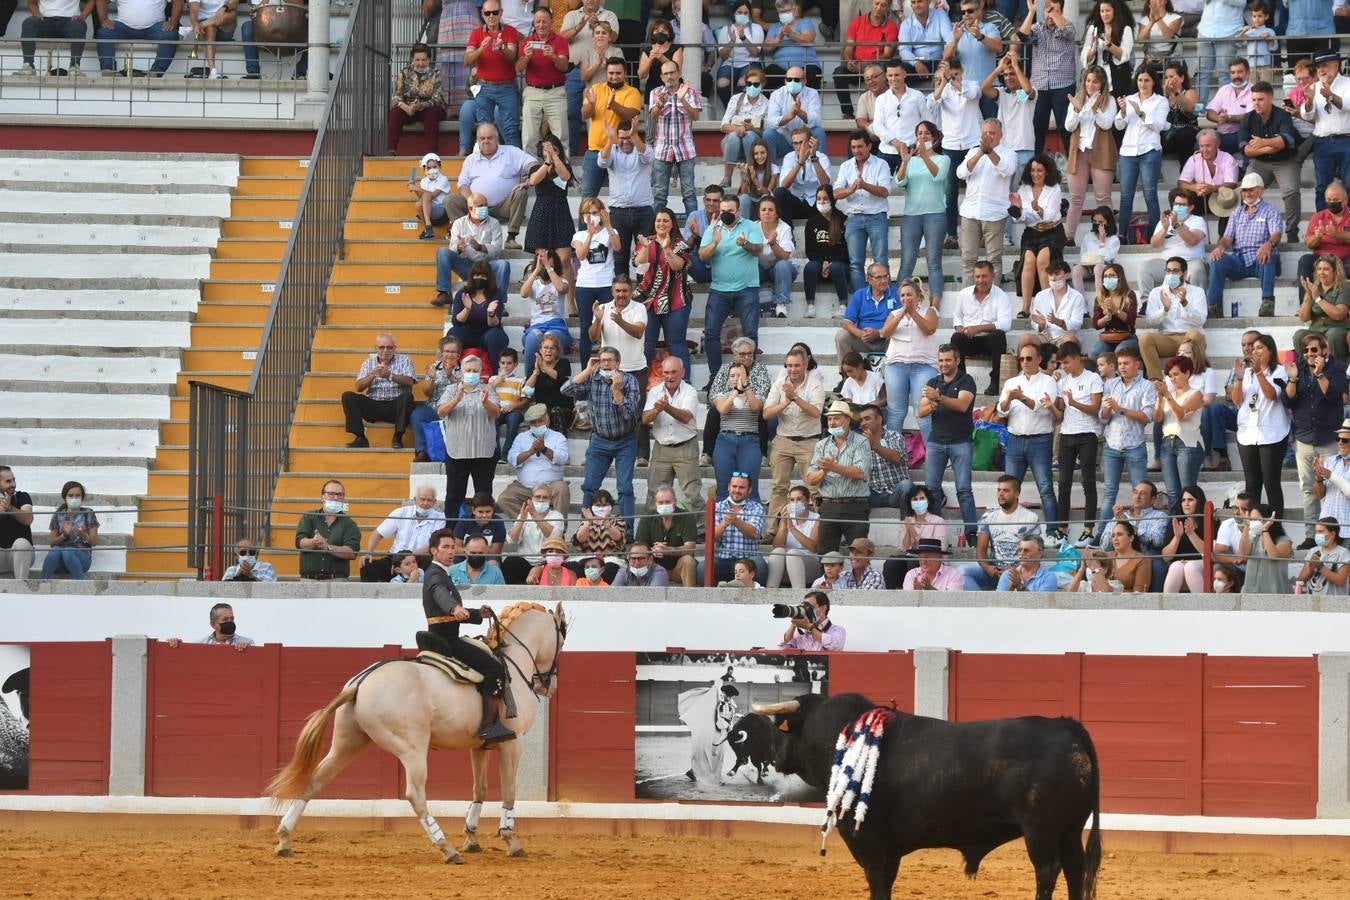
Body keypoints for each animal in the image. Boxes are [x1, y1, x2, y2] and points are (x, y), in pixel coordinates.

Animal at [265, 601, 567, 863]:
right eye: (561, 640)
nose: (548, 686)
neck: (513, 661)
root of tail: (361, 682)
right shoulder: (513, 743)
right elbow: (509, 791)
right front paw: (511, 841)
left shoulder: (480, 746)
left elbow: (479, 789)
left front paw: (471, 839)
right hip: (412, 749)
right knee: (415, 795)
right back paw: (446, 848)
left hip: (347, 743)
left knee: (314, 780)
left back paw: (284, 840)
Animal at [756, 696, 1101, 900]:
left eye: (787, 730)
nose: (774, 755)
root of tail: (1065, 725)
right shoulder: (890, 849)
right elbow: (886, 882)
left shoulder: (868, 842)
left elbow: (876, 882)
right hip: (1070, 829)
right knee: (1074, 867)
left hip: (1040, 830)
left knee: (1047, 869)